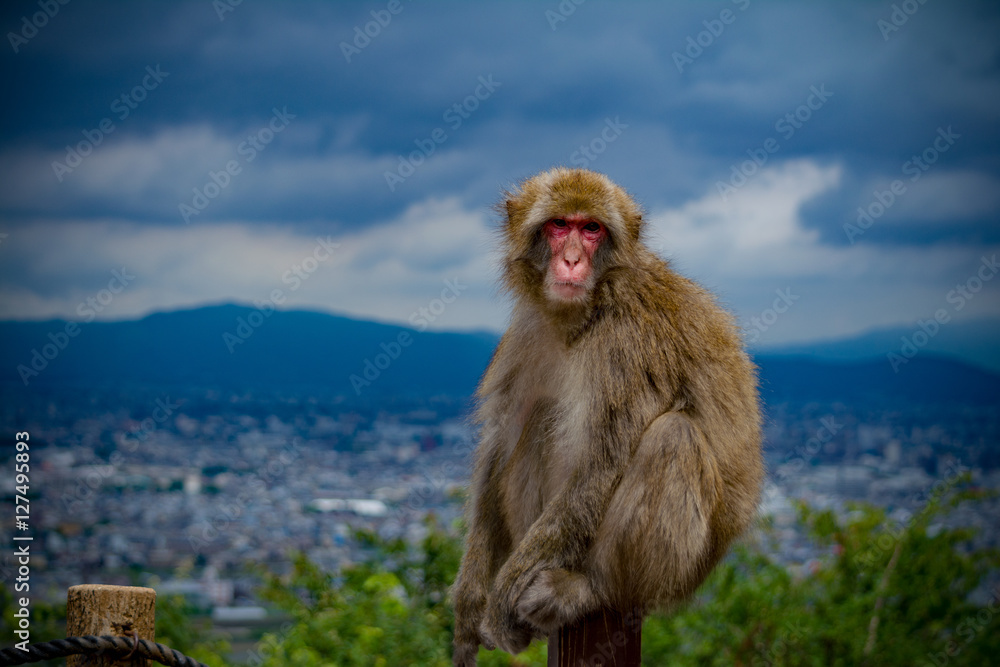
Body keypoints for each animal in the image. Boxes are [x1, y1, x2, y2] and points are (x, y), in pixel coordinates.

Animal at [451, 167, 764, 665]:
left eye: (592, 229)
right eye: (560, 224)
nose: (573, 260)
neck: (588, 311)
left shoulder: (626, 344)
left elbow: (601, 463)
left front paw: (498, 603)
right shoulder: (528, 329)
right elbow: (501, 441)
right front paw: (470, 602)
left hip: (683, 571)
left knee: (672, 437)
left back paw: (591, 588)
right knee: (539, 422)